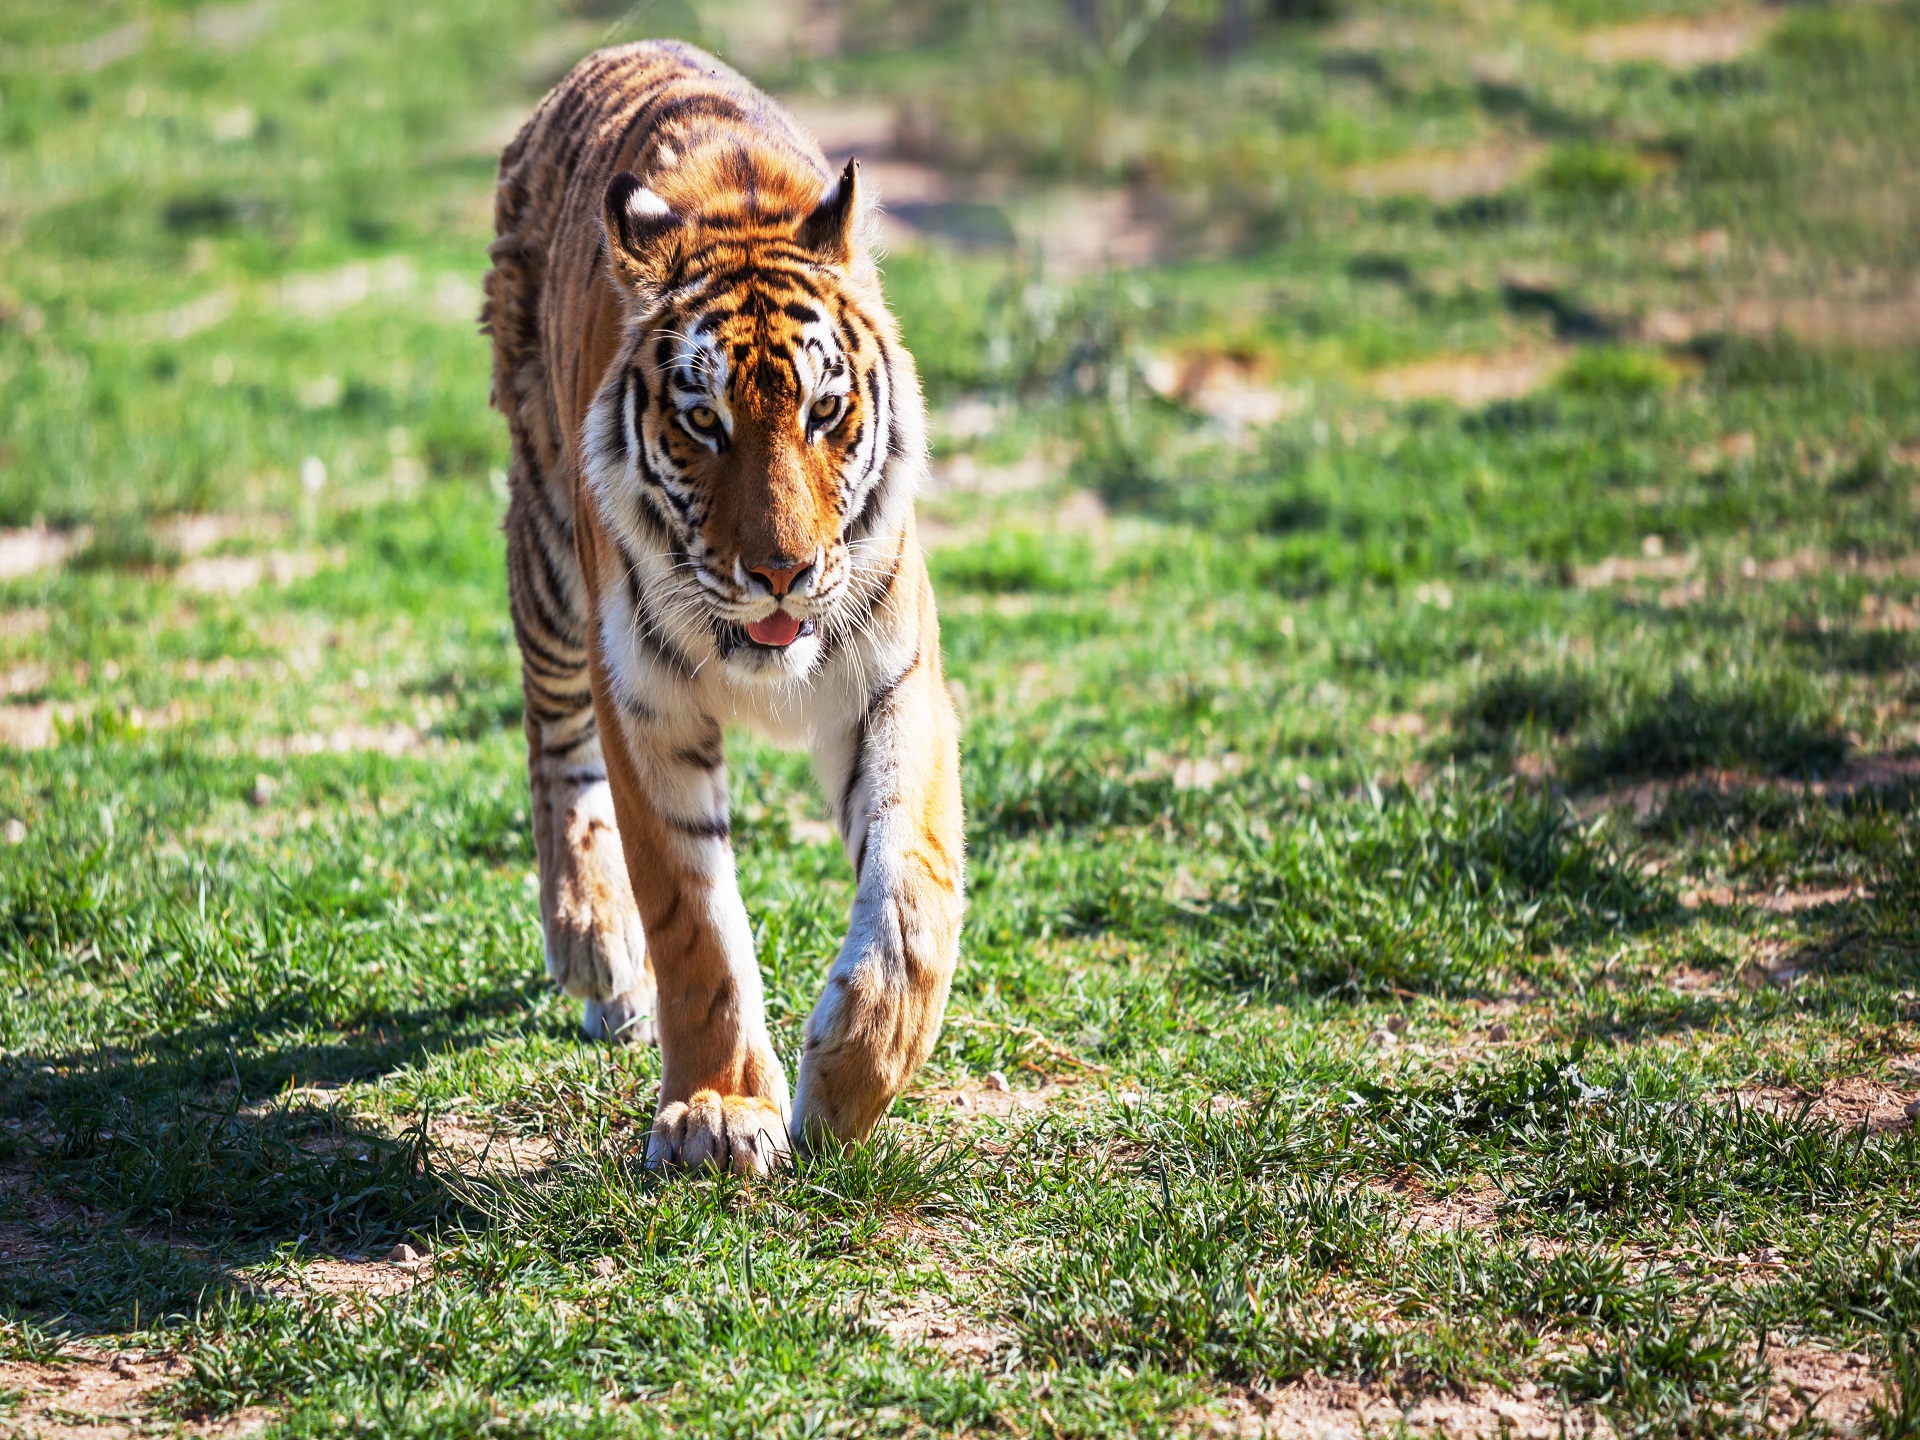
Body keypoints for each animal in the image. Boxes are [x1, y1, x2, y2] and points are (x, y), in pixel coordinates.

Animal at [480, 40, 964, 1173]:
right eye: (703, 423)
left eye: (824, 412)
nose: (781, 573)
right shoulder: (644, 702)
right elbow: (692, 922)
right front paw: (718, 1112)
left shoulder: (894, 682)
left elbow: (913, 897)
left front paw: (847, 1082)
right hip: (552, 552)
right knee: (551, 737)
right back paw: (593, 945)